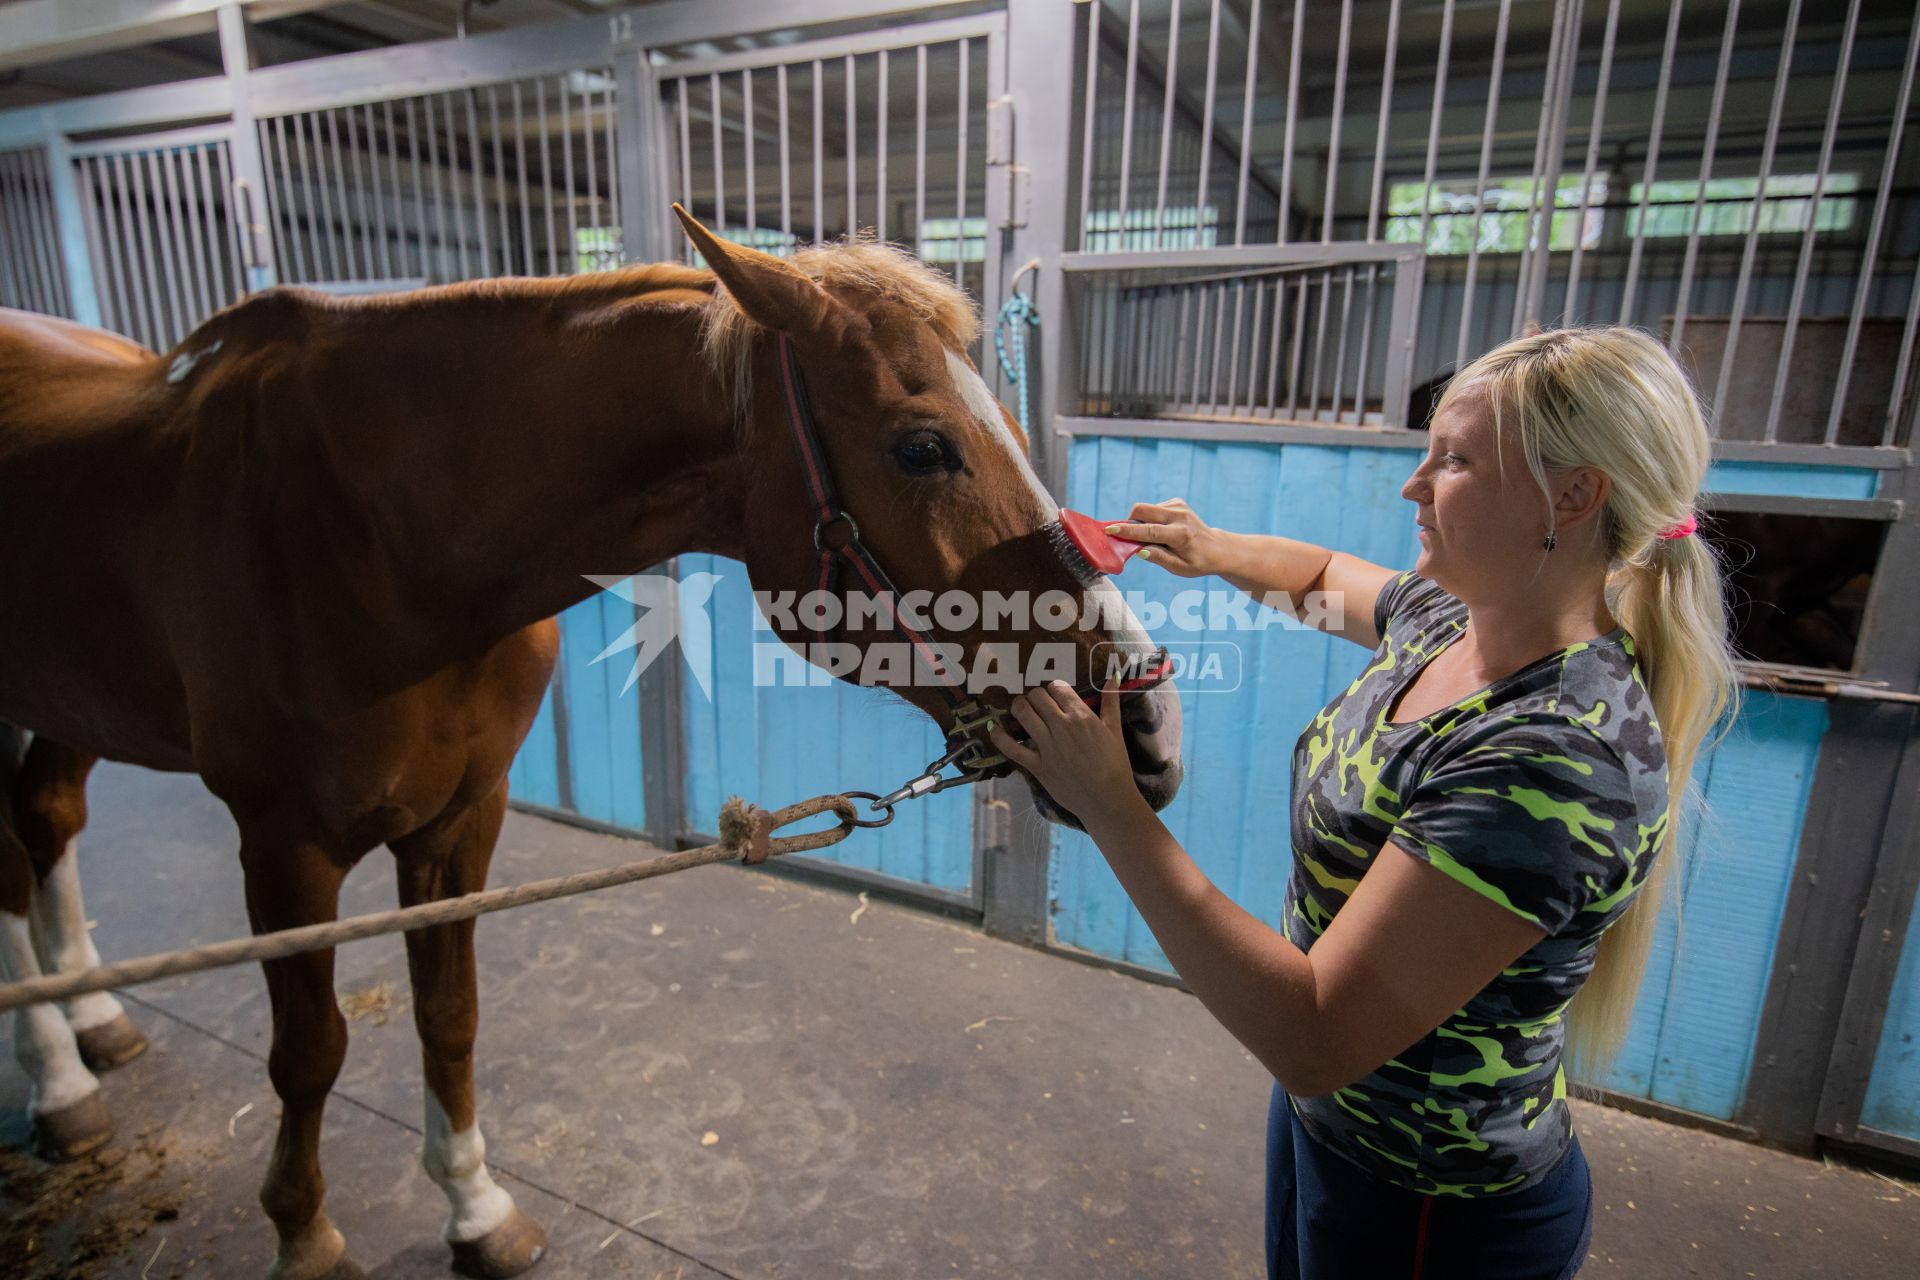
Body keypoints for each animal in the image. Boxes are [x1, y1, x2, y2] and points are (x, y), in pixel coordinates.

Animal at [0, 210, 1182, 1280]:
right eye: (923, 446)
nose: (1146, 724)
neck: (377, 537)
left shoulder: (462, 817)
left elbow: (449, 1014)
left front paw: (477, 1210)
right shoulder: (283, 842)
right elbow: (309, 1048)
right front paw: (303, 1232)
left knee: (46, 828)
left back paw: (92, 1024)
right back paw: (59, 1082)